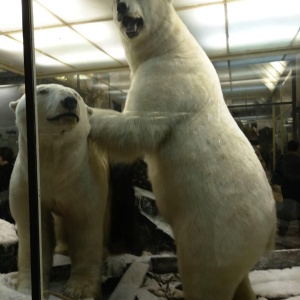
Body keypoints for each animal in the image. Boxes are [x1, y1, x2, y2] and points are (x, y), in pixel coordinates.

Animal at [9, 84, 110, 300]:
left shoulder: (85, 176)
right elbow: (33, 229)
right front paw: (28, 287)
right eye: (42, 91)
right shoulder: (25, 181)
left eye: (77, 95)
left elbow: (85, 224)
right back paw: (62, 247)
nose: (69, 102)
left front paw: (79, 289)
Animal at [88, 0, 276, 300]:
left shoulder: (169, 76)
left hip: (220, 229)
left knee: (204, 275)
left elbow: (139, 127)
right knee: (239, 279)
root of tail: (269, 231)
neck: (170, 45)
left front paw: (80, 108)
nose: (122, 6)